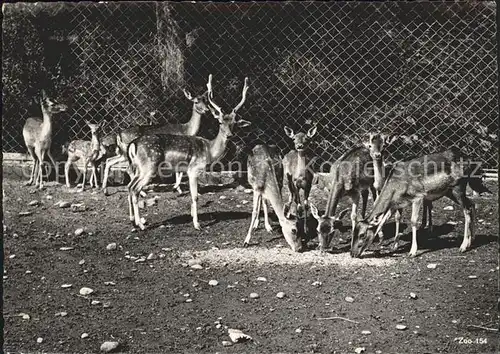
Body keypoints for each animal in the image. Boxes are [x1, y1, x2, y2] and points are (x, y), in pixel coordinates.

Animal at [350, 147, 490, 258]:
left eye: (362, 235)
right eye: (353, 233)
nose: (352, 253)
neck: (395, 187)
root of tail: (471, 162)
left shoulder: (417, 196)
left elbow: (413, 221)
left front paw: (412, 252)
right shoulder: (395, 205)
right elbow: (388, 220)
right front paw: (393, 246)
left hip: (458, 187)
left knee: (467, 209)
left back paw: (463, 246)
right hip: (449, 192)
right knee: (472, 205)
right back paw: (472, 240)